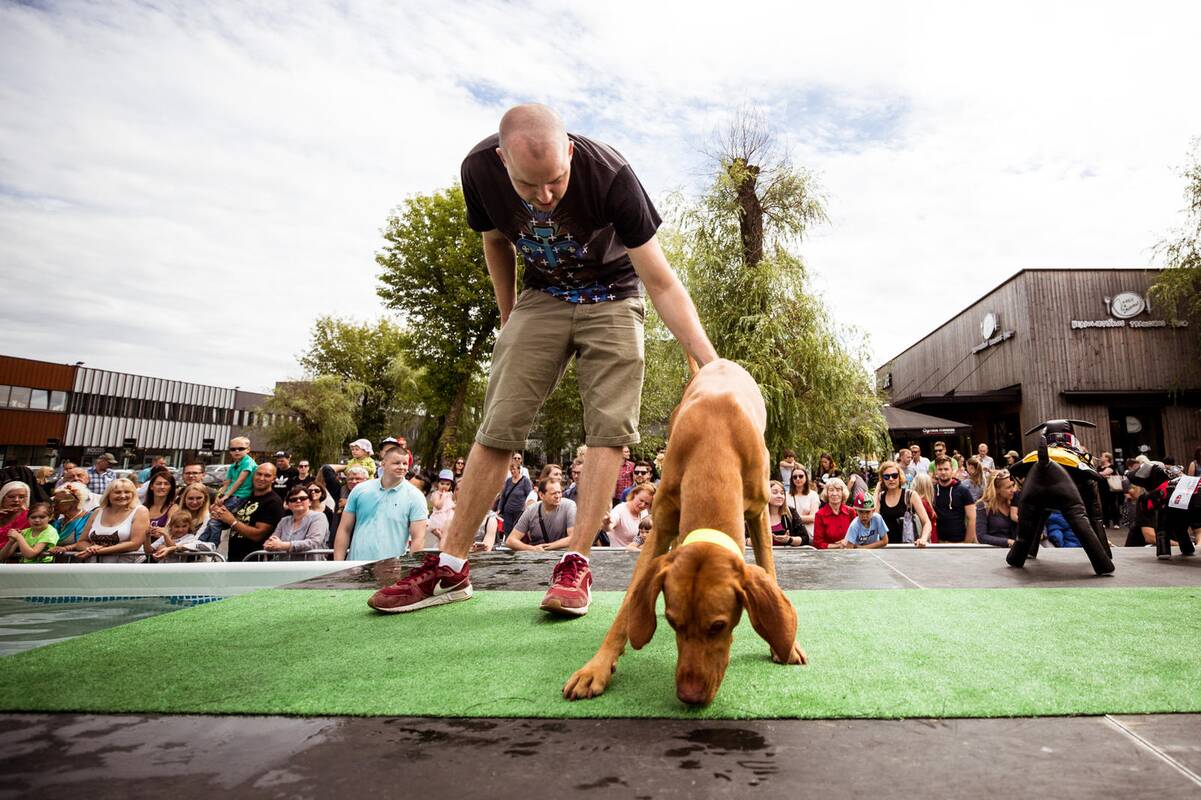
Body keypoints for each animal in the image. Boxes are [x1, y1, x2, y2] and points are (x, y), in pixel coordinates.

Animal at [562, 359, 806, 707]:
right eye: (672, 621)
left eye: (718, 626)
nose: (690, 696)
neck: (714, 446)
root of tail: (717, 361)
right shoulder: (661, 523)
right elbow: (628, 603)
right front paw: (597, 666)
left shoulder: (760, 514)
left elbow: (769, 571)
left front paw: (784, 643)